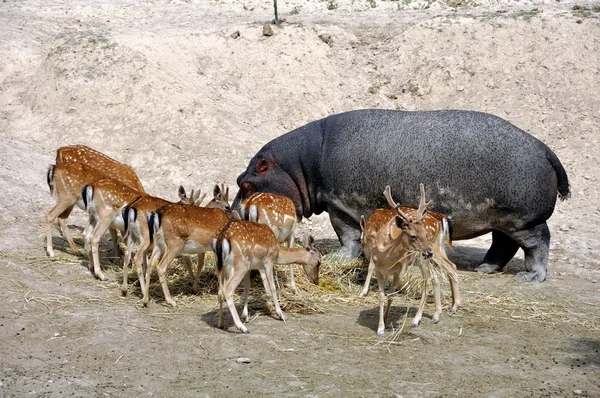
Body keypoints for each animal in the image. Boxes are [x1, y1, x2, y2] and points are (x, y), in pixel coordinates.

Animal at [366, 185, 460, 338]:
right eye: (412, 235)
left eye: (424, 234)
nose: (428, 251)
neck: (385, 256)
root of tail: (441, 220)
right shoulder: (380, 271)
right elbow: (381, 295)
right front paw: (381, 326)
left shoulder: (399, 270)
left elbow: (391, 295)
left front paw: (384, 324)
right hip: (433, 252)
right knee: (441, 273)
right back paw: (438, 314)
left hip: (425, 256)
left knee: (431, 278)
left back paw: (418, 319)